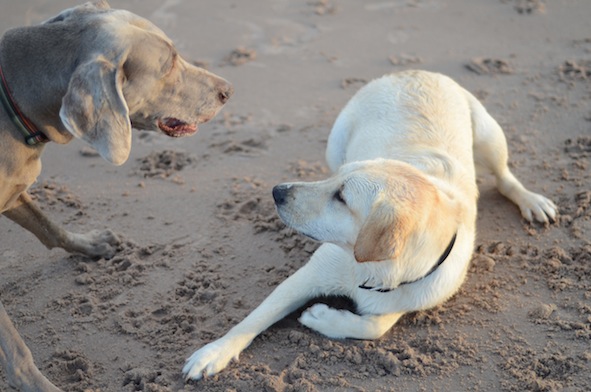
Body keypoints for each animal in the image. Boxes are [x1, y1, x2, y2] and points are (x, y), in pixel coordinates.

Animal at [1, 1, 234, 390]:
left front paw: (93, 244)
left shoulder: (14, 191)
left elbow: (50, 227)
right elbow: (14, 348)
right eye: (169, 63)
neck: (16, 101)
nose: (228, 90)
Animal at [184, 70, 556, 380]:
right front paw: (213, 353)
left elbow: (376, 326)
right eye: (334, 183)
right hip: (339, 140)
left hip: (490, 135)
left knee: (505, 177)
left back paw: (531, 201)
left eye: (342, 197)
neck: (375, 271)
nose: (277, 192)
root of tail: (413, 71)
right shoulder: (307, 275)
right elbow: (254, 319)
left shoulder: (412, 294)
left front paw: (322, 317)